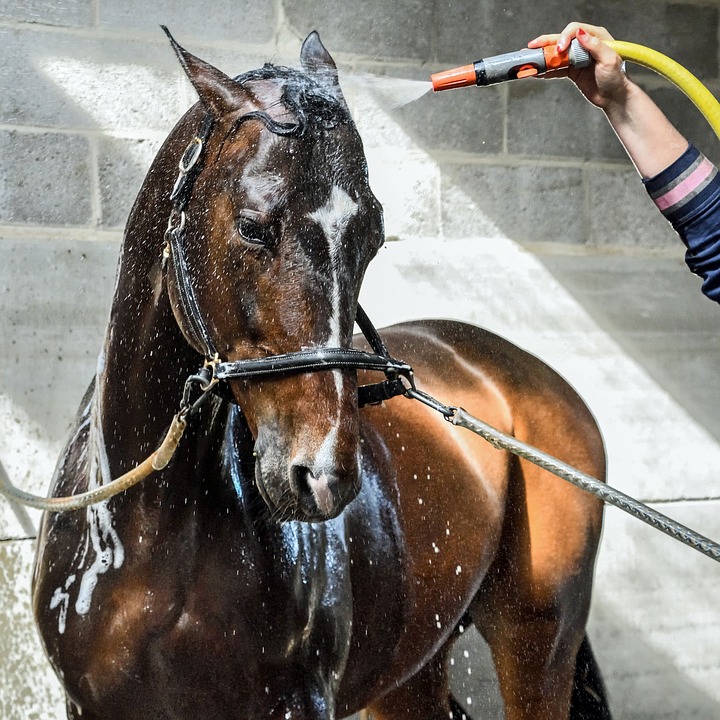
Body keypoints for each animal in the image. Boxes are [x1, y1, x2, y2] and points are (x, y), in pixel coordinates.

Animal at [31, 28, 612, 720]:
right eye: (253, 226)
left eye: (373, 237)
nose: (324, 476)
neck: (143, 536)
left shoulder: (297, 701)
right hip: (412, 671)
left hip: (536, 643)